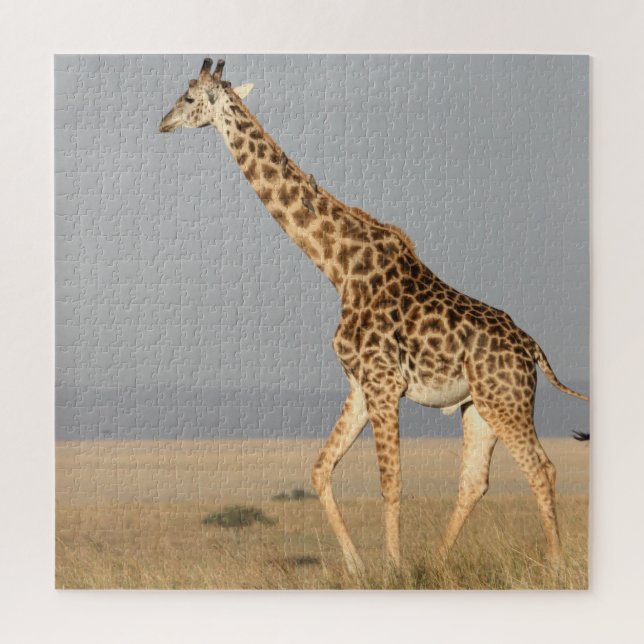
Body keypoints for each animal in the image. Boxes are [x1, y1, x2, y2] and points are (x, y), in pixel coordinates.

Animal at [159, 58, 589, 577]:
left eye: (187, 97)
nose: (162, 123)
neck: (338, 268)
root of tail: (533, 350)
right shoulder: (360, 384)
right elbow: (320, 469)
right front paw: (359, 565)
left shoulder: (384, 383)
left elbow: (390, 481)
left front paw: (394, 568)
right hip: (479, 406)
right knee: (475, 480)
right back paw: (437, 564)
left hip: (507, 401)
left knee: (541, 469)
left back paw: (556, 567)